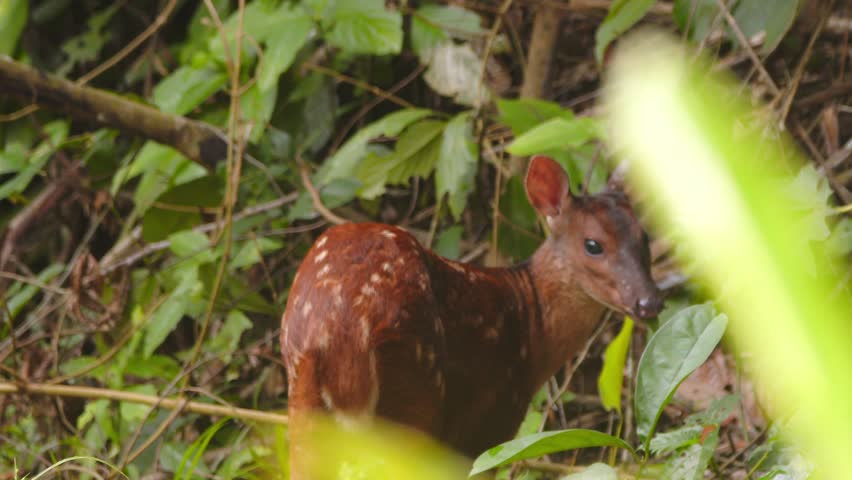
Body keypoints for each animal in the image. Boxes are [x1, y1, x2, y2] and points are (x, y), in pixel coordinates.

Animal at [280, 155, 663, 478]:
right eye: (593, 244)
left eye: (644, 237)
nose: (650, 301)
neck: (532, 324)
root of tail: (341, 334)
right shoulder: (492, 420)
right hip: (415, 391)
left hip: (303, 399)